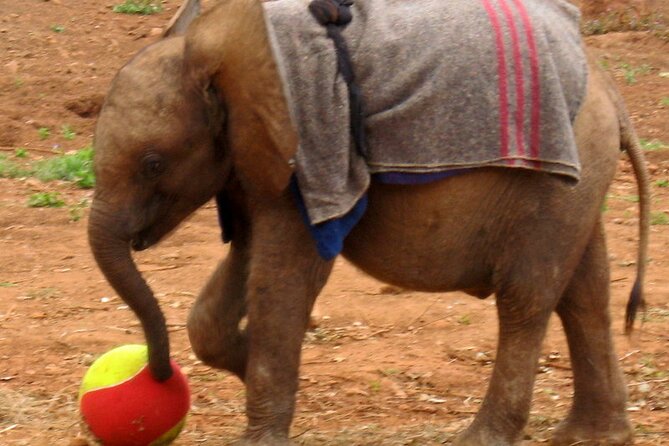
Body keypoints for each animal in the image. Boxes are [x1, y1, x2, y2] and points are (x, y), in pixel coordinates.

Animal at [87, 0, 650, 444]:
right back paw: (592, 437)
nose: (155, 376)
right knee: (584, 292)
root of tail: (609, 88)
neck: (217, 44)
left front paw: (257, 429)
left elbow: (283, 279)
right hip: (581, 178)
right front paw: (247, 366)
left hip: (555, 179)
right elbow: (241, 264)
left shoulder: (310, 150)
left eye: (152, 164)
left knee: (526, 298)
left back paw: (483, 438)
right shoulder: (255, 160)